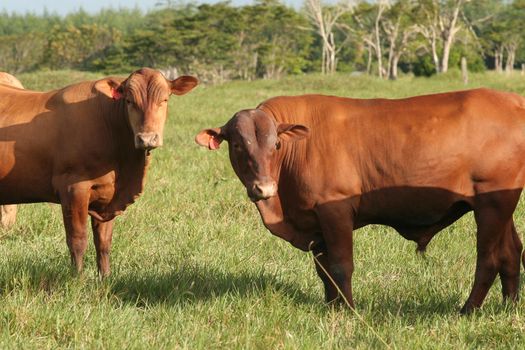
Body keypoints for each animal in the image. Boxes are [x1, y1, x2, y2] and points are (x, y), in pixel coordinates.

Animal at [0, 67, 198, 276]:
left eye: (165, 100)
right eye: (129, 101)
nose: (147, 138)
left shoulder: (107, 196)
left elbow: (103, 243)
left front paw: (105, 277)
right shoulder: (73, 188)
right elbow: (77, 240)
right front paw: (76, 278)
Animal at [195, 88, 524, 314]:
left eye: (276, 144)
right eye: (238, 145)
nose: (263, 188)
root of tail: (512, 100)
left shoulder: (335, 210)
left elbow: (341, 266)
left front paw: (349, 311)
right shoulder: (315, 223)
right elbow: (324, 270)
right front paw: (330, 307)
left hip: (492, 203)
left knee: (489, 259)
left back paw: (467, 310)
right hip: (499, 206)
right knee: (511, 252)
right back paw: (508, 306)